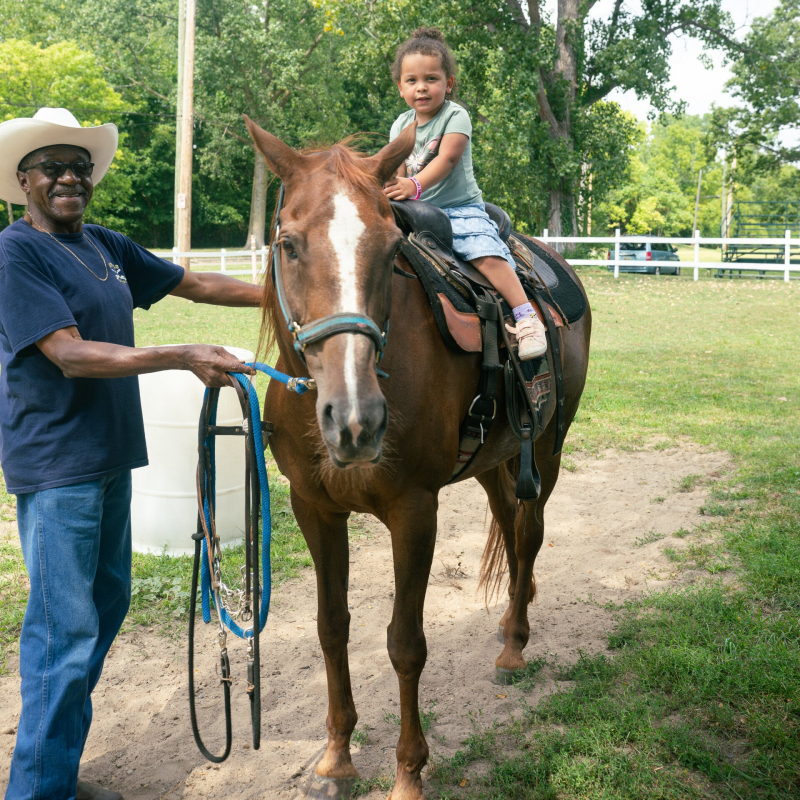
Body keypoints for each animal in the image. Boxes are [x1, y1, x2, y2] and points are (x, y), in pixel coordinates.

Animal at [243, 115, 592, 800]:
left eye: (387, 250)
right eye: (289, 245)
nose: (356, 420)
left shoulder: (414, 512)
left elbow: (405, 644)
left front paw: (408, 772)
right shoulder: (312, 509)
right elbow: (331, 628)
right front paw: (338, 756)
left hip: (546, 449)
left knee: (529, 535)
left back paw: (514, 645)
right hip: (492, 463)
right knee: (510, 531)